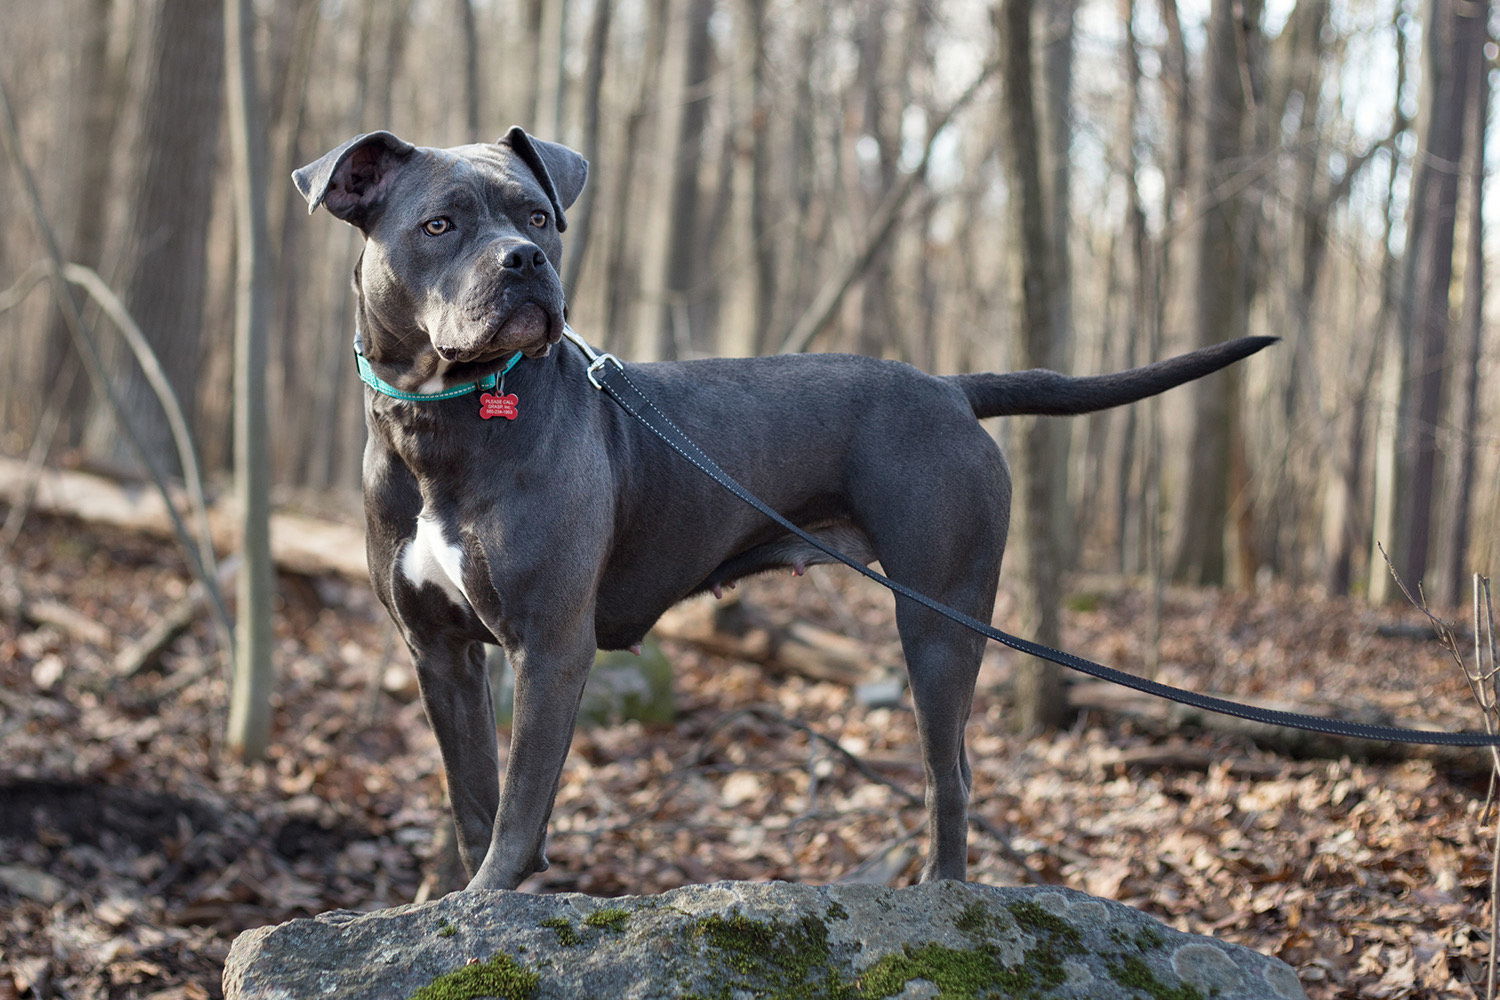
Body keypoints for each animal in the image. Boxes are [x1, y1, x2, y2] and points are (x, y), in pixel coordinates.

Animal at [295, 128, 1278, 887]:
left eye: (539, 217)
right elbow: (474, 798)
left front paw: (489, 899)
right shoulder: (441, 654)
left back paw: (942, 894)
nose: (527, 259)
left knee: (949, 775)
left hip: (939, 620)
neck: (445, 425)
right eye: (440, 224)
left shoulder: (551, 642)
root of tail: (951, 389)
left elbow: (520, 804)